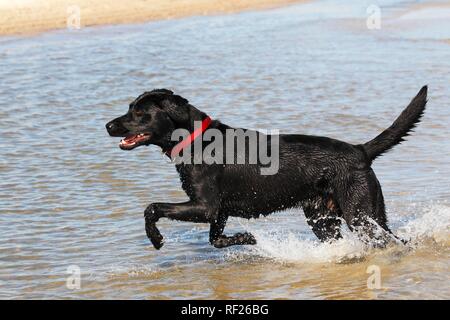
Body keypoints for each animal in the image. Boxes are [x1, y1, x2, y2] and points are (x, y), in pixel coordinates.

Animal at [106, 86, 428, 249]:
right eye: (129, 108)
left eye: (139, 113)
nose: (107, 125)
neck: (196, 139)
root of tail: (360, 150)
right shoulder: (218, 211)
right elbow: (215, 240)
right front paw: (245, 238)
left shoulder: (205, 206)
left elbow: (152, 208)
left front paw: (156, 238)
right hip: (325, 219)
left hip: (361, 215)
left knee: (394, 241)